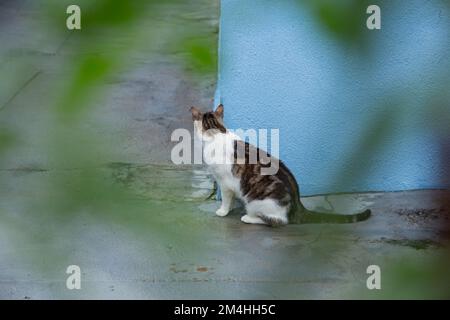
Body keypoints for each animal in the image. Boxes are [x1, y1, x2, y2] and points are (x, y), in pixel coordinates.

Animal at [189, 104, 370, 226]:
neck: (216, 133)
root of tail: (298, 204)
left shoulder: (225, 183)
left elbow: (226, 199)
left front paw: (223, 211)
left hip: (256, 201)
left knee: (279, 221)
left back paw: (249, 217)